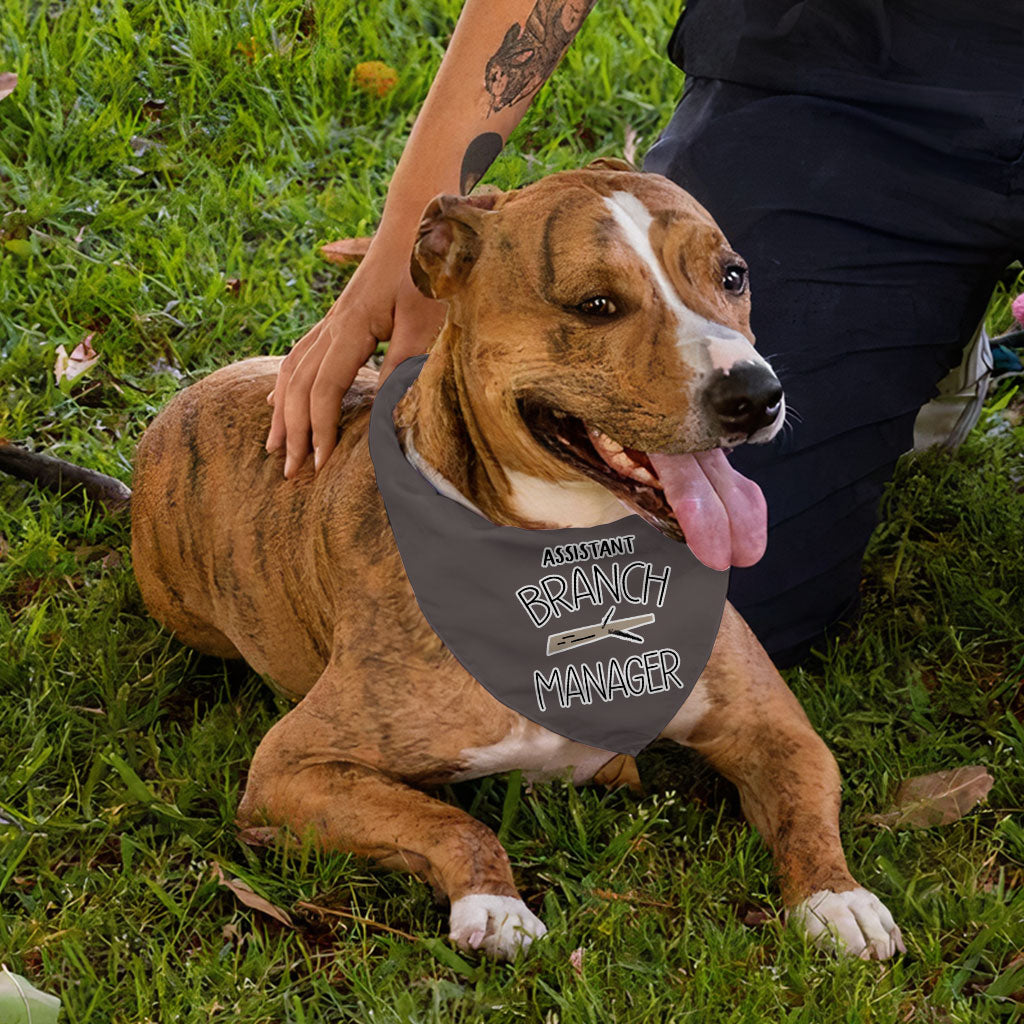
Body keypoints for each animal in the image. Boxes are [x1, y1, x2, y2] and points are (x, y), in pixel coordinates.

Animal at [123, 159, 901, 958]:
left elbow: (806, 806)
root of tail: (182, 401)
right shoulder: (293, 766)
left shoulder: (774, 728)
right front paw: (493, 903)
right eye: (596, 305)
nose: (755, 393)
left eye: (733, 276)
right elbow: (450, 821)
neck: (579, 562)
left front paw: (837, 897)